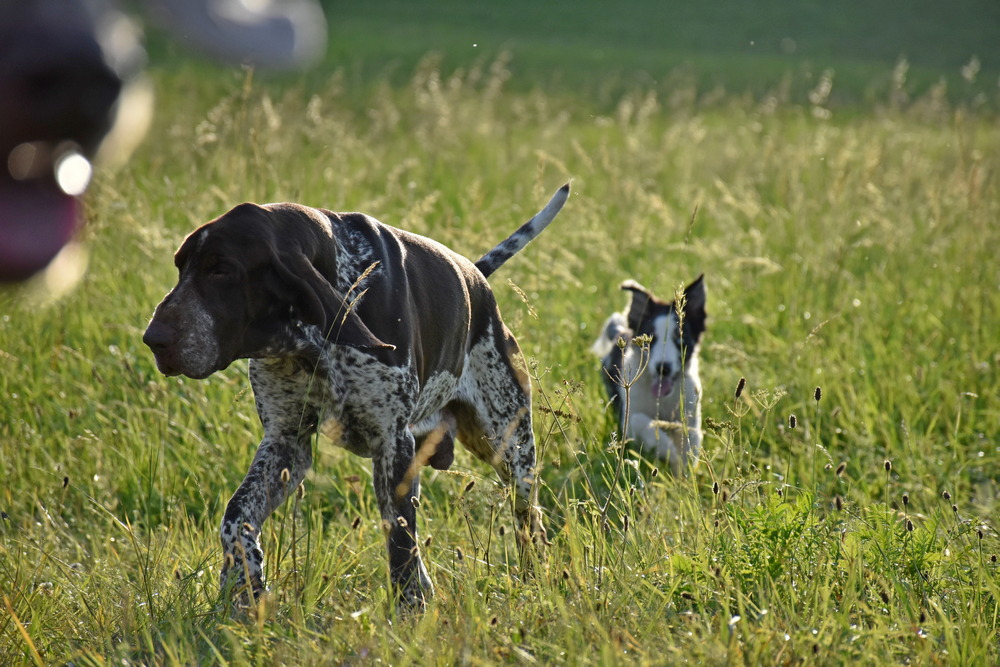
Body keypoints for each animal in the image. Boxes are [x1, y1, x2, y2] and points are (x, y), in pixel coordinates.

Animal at [143, 183, 572, 612]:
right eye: (181, 267)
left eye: (222, 269)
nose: (152, 339)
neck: (314, 342)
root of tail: (477, 277)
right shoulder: (286, 442)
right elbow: (236, 518)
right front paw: (244, 587)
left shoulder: (392, 444)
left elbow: (399, 544)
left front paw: (408, 615)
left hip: (509, 448)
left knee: (528, 521)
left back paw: (532, 581)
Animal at [588, 276, 708, 474]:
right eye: (651, 340)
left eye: (680, 339)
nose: (663, 368)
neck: (661, 398)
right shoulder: (628, 417)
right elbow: (642, 422)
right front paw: (667, 448)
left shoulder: (690, 411)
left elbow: (690, 440)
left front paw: (683, 474)